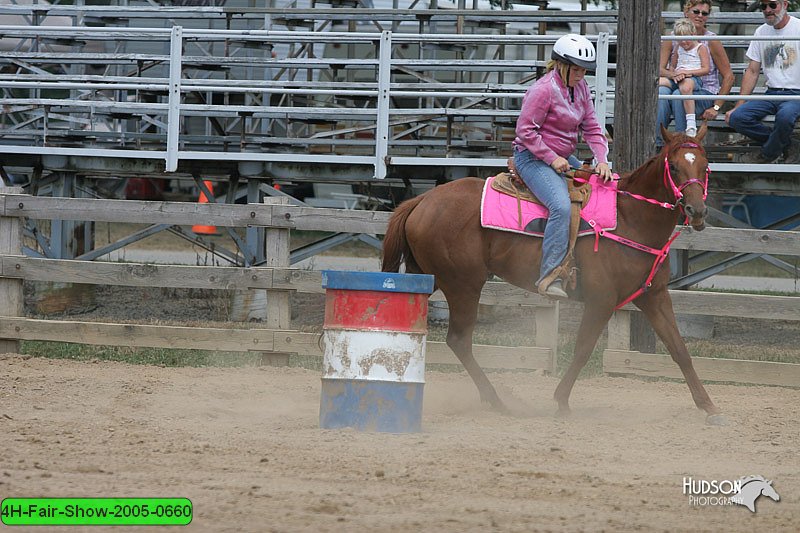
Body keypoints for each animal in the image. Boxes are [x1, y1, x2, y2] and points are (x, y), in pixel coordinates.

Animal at [382, 125, 724, 424]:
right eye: (675, 167)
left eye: (705, 165)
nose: (696, 211)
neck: (629, 218)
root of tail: (422, 200)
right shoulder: (601, 300)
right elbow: (583, 350)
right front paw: (561, 401)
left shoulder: (654, 296)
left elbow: (679, 350)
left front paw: (709, 407)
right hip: (463, 284)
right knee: (459, 340)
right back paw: (497, 401)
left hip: (425, 278)